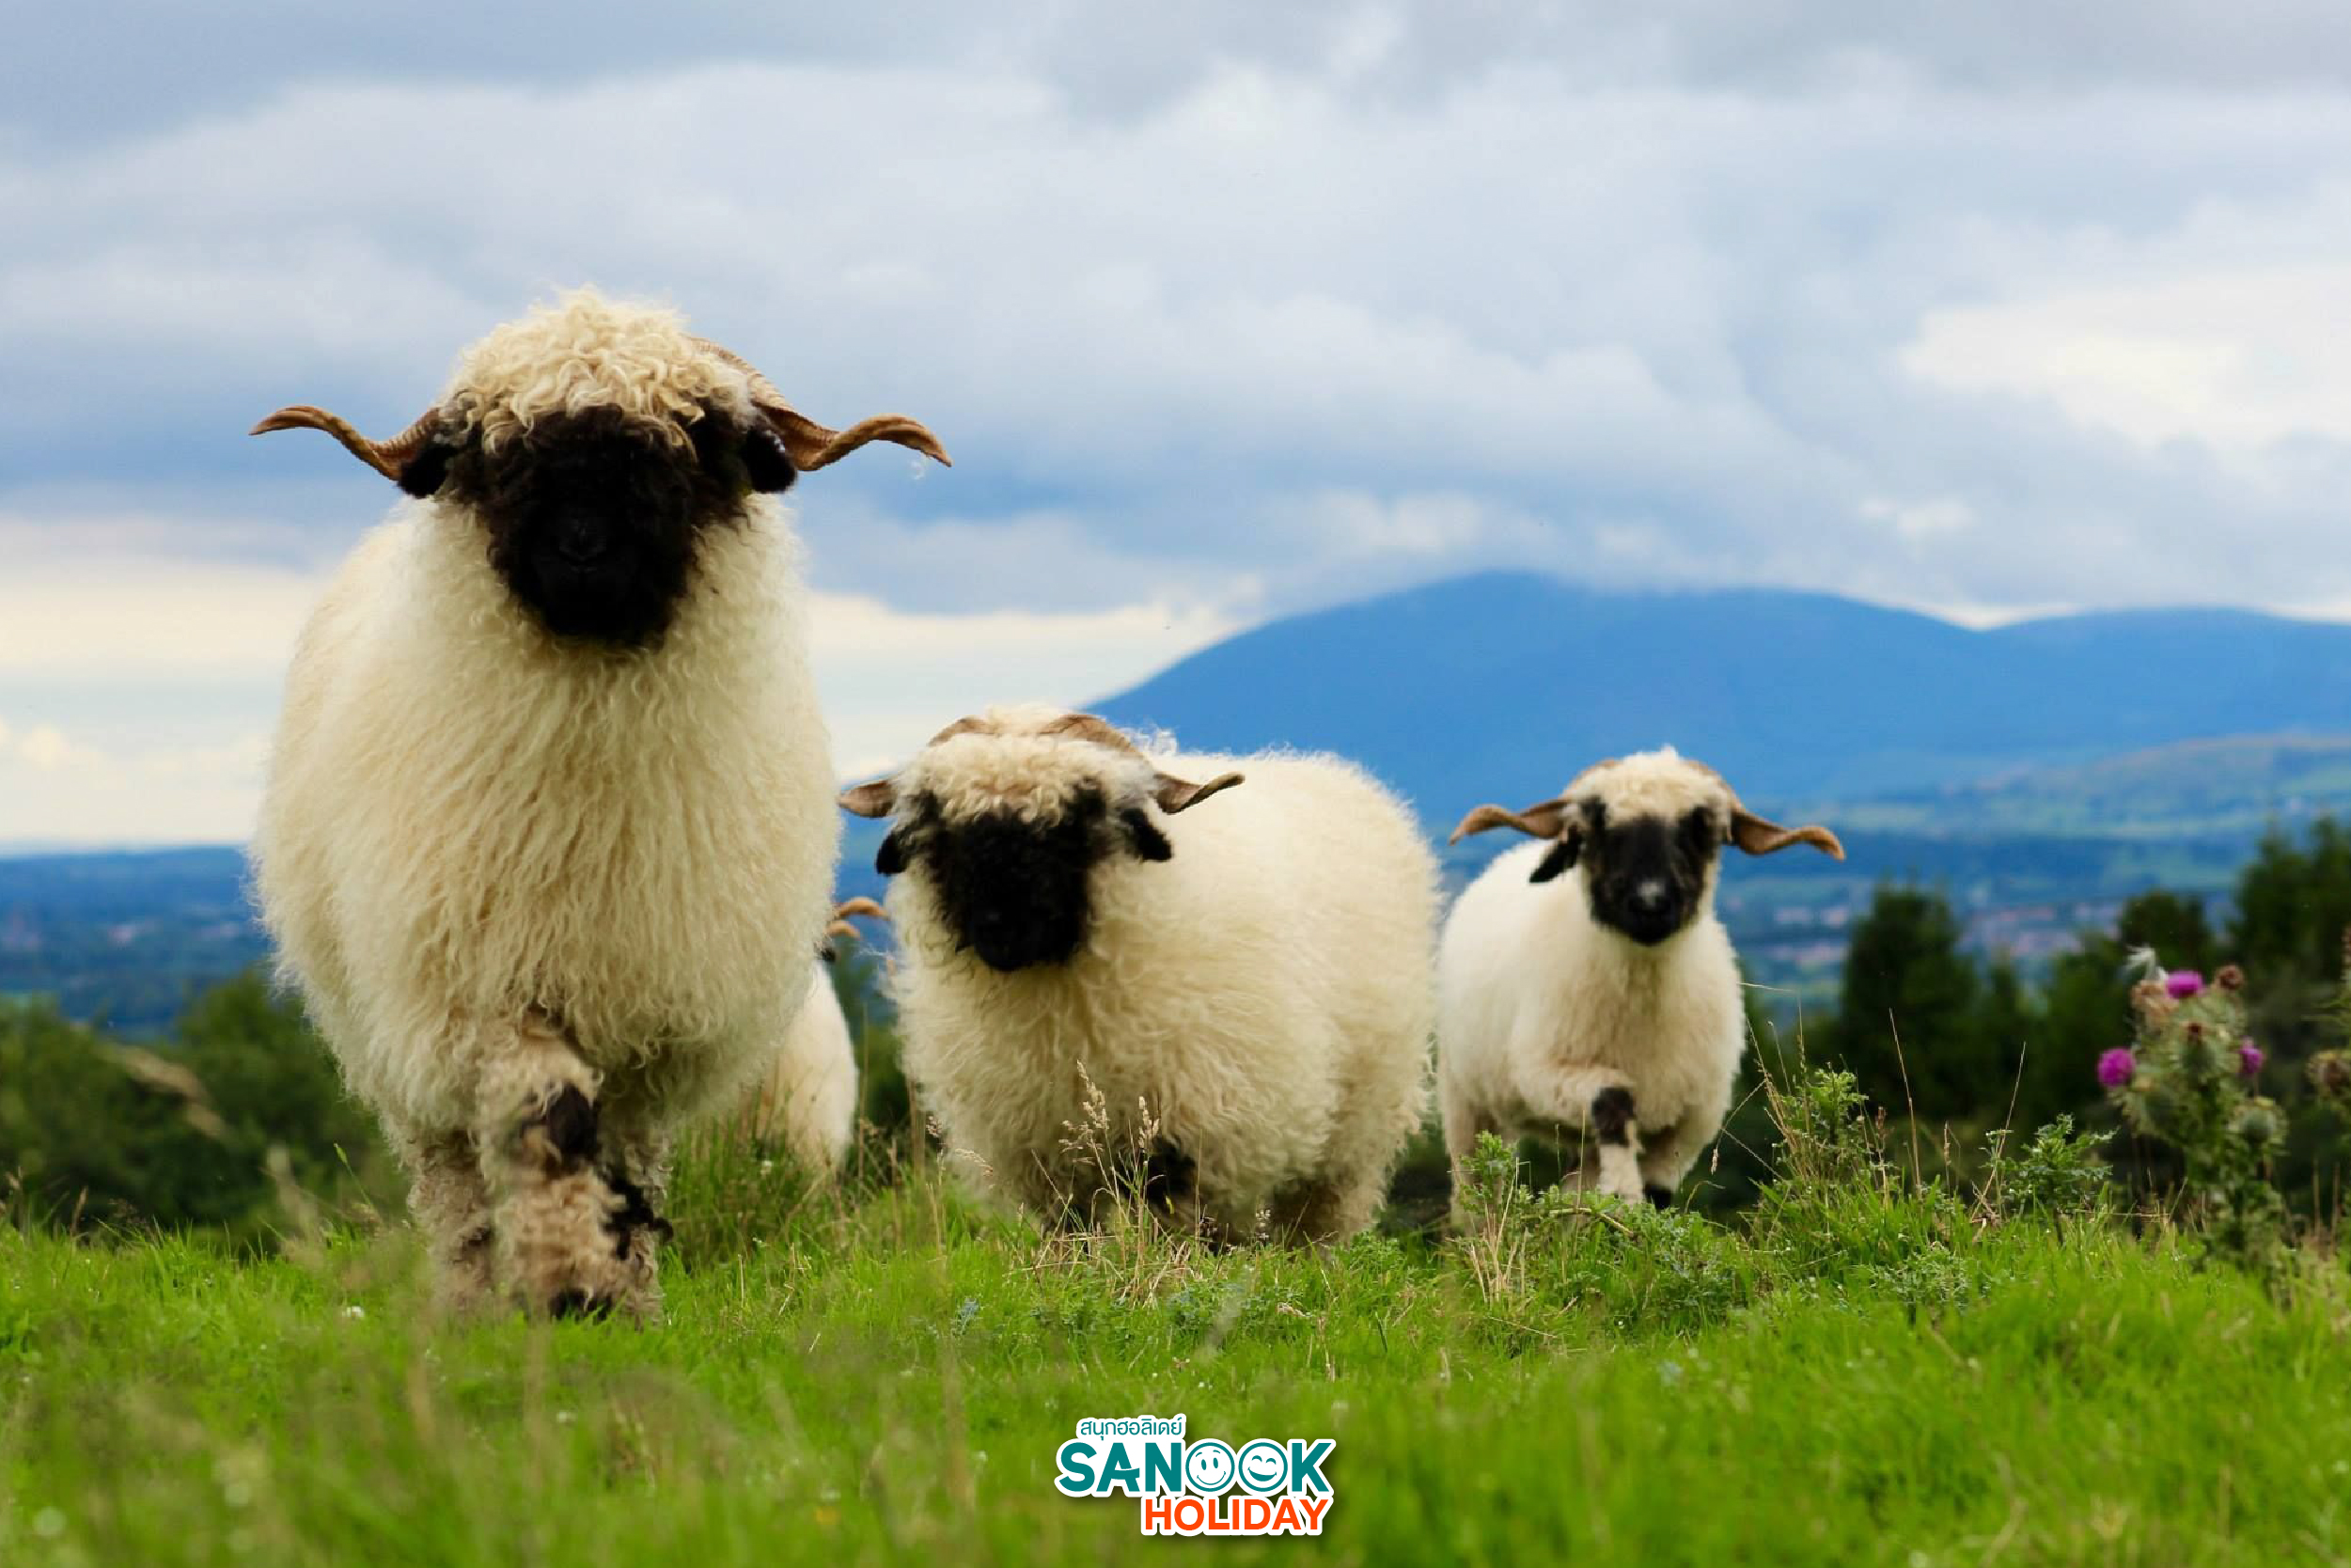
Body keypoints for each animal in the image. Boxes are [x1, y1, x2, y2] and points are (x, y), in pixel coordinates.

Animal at [839, 705, 1438, 1242]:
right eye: (946, 827)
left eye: (1075, 819)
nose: (1001, 928)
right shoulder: (1044, 1150)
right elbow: (1072, 1235)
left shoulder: (1200, 1134)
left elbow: (1184, 1231)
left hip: (1354, 1133)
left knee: (1318, 1223)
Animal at [1438, 748, 1843, 1207]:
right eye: (1596, 824)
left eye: (1702, 827)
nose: (1650, 903)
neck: (1645, 997)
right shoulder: (1544, 1073)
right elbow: (1613, 1100)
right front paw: (1621, 1192)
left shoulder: (1691, 1122)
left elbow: (1657, 1194)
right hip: (1467, 1101)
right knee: (1476, 1192)